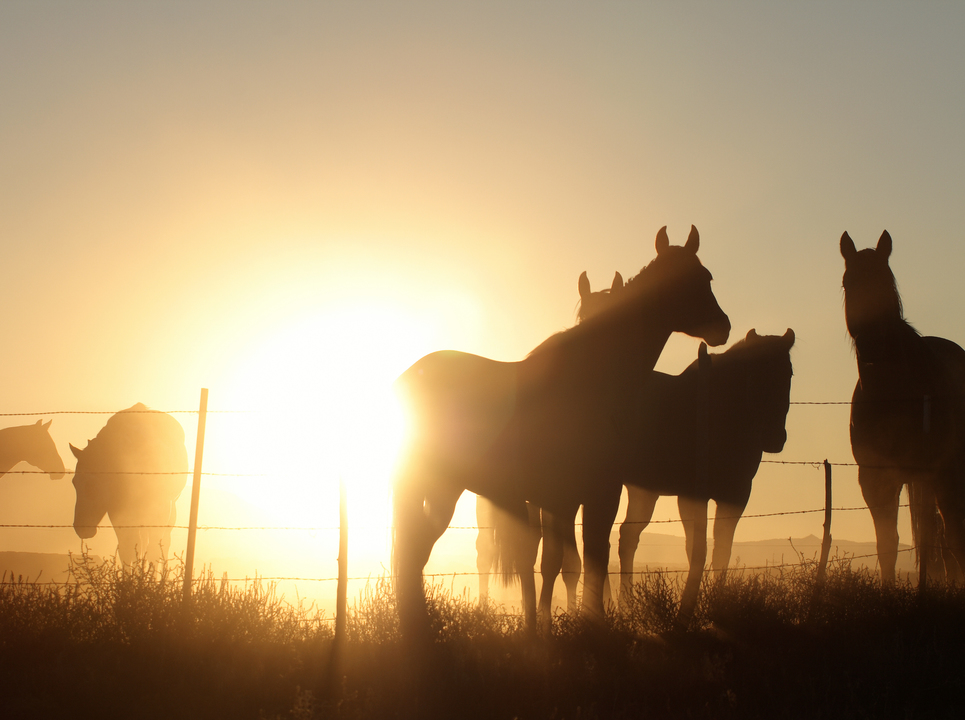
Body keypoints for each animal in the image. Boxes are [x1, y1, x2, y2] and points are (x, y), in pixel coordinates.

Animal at [70, 403, 189, 567]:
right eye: (74, 482)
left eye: (93, 485)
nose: (81, 528)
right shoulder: (118, 511)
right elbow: (128, 549)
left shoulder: (162, 508)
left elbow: (154, 550)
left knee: (162, 543)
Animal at [393, 225, 730, 634]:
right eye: (682, 281)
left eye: (705, 276)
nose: (722, 328)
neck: (589, 382)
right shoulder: (587, 495)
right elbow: (583, 558)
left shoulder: (576, 497)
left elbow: (574, 559)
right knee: (414, 553)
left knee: (413, 554)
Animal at [841, 231, 965, 585]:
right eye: (847, 283)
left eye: (886, 281)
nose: (871, 344)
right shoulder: (875, 479)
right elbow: (888, 545)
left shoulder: (942, 473)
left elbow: (954, 539)